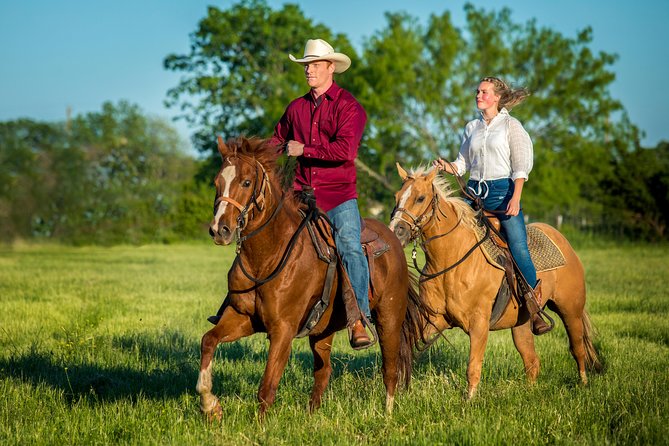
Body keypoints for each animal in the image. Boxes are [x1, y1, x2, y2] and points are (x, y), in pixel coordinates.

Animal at [197, 136, 424, 419]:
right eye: (217, 181)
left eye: (246, 182)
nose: (220, 230)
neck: (267, 258)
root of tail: (393, 237)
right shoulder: (241, 318)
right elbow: (208, 341)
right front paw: (210, 405)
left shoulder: (283, 329)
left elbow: (267, 388)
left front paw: (260, 425)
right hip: (323, 330)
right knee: (323, 371)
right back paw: (312, 415)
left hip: (389, 319)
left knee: (390, 369)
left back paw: (387, 414)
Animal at [389, 164, 602, 399]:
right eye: (397, 196)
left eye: (420, 198)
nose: (396, 231)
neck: (452, 259)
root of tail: (561, 239)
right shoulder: (434, 319)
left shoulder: (479, 323)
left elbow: (473, 366)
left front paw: (470, 400)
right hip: (522, 324)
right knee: (532, 361)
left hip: (570, 309)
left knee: (578, 348)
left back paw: (583, 384)